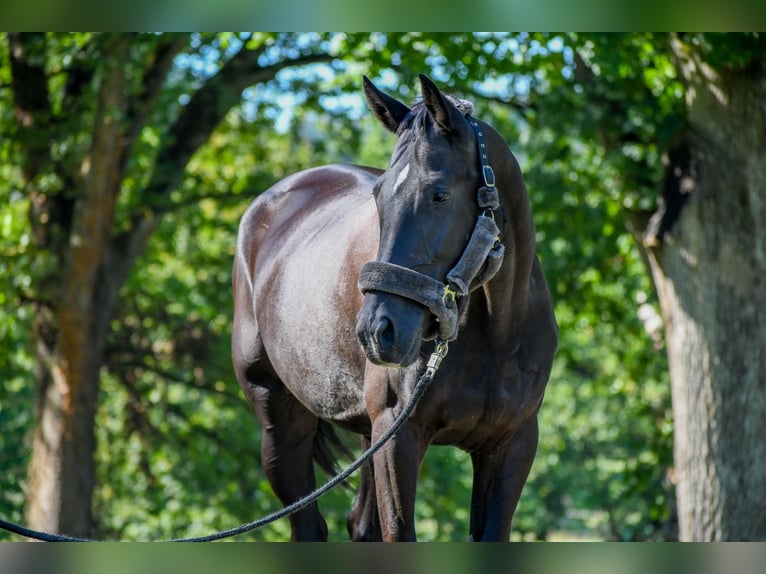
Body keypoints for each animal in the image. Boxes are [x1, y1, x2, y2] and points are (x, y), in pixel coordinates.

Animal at [231, 74, 558, 541]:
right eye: (379, 194)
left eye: (439, 194)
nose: (376, 331)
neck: (497, 333)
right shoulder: (398, 436)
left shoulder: (511, 444)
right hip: (280, 420)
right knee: (309, 525)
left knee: (360, 524)